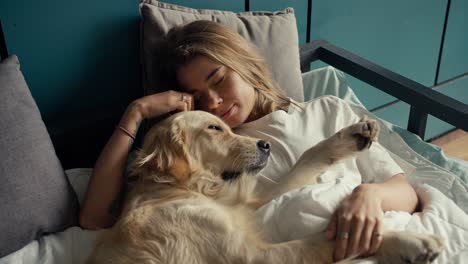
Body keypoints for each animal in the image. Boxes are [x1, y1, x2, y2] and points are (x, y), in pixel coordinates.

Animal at [87, 111, 442, 264]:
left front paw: (354, 134)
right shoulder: (252, 256)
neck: (186, 189)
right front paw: (412, 241)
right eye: (214, 128)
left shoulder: (249, 202)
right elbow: (321, 242)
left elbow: (307, 158)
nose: (266, 145)